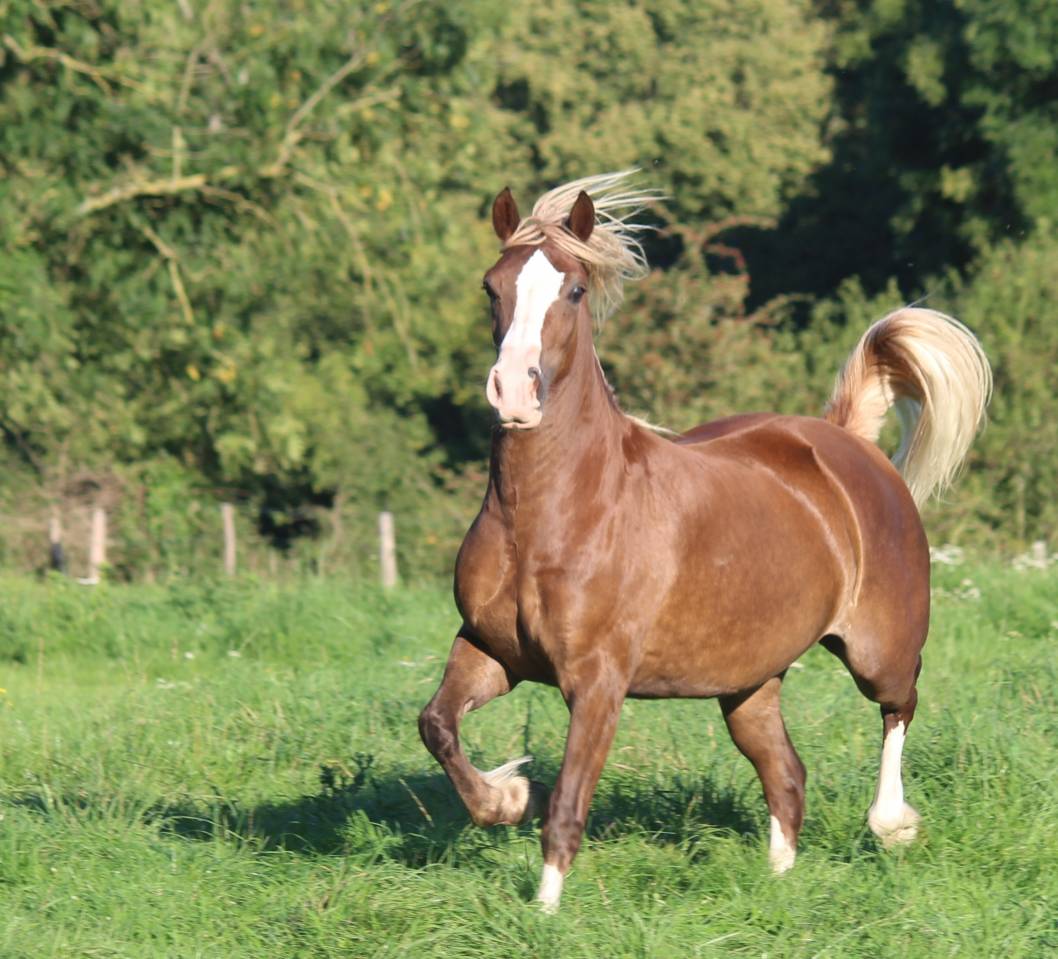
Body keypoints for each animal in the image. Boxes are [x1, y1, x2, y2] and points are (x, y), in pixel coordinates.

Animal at [418, 171, 991, 912]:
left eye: (573, 290)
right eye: (492, 286)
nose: (515, 391)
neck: (552, 514)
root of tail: (848, 444)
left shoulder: (597, 681)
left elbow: (569, 801)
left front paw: (543, 909)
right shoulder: (491, 649)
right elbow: (438, 725)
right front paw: (510, 796)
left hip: (878, 649)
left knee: (900, 705)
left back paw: (891, 823)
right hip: (749, 683)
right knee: (787, 774)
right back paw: (778, 884)